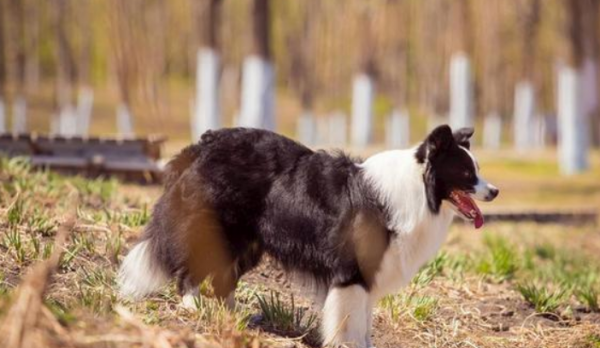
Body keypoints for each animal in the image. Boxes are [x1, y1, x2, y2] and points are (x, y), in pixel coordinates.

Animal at [117, 125, 496, 348]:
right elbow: (349, 322)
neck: (417, 189)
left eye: (478, 169)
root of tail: (203, 143)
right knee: (193, 269)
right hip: (218, 231)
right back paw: (193, 307)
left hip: (247, 244)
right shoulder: (351, 273)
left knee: (223, 279)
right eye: (467, 173)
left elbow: (365, 322)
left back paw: (232, 316)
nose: (494, 191)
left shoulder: (369, 275)